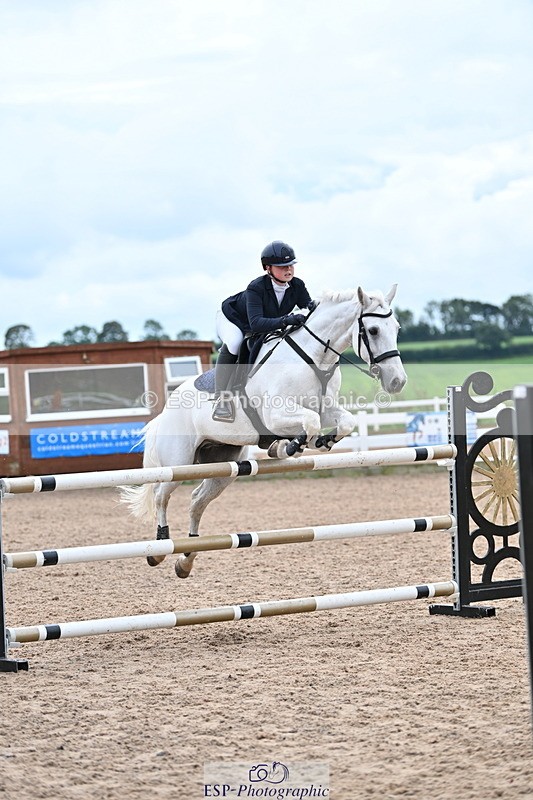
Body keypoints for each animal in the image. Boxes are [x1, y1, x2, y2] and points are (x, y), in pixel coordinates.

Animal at [120, 284, 407, 578]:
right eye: (373, 330)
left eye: (396, 328)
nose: (397, 382)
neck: (314, 357)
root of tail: (165, 410)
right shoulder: (275, 415)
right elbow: (311, 423)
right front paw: (288, 446)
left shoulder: (326, 408)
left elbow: (343, 421)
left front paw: (319, 442)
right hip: (178, 463)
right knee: (161, 495)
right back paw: (160, 548)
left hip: (223, 465)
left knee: (197, 501)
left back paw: (186, 560)